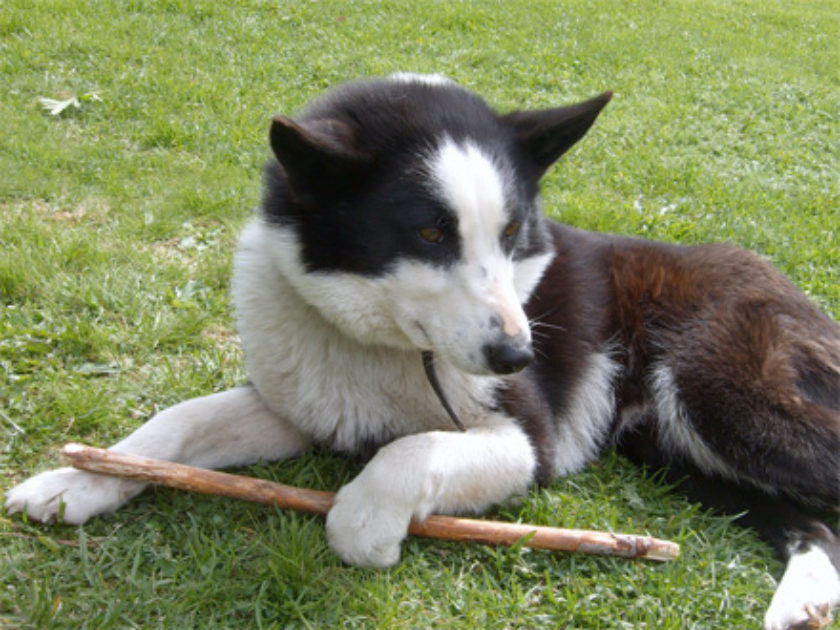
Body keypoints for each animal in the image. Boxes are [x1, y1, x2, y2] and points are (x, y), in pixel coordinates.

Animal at [8, 75, 840, 630]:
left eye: (511, 234)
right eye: (430, 233)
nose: (517, 356)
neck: (380, 345)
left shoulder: (528, 440)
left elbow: (408, 454)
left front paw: (369, 523)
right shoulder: (300, 405)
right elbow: (175, 423)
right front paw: (71, 481)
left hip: (724, 400)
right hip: (677, 450)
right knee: (813, 522)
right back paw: (805, 595)